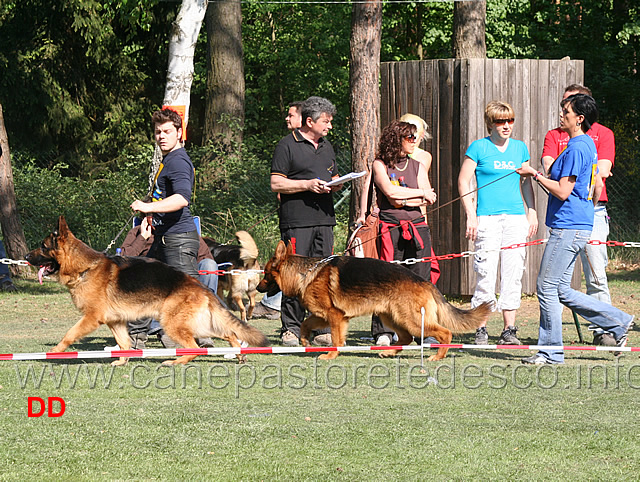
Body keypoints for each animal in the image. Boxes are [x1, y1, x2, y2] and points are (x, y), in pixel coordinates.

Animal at [25, 216, 268, 366]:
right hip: (198, 324)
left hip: (174, 324)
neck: (84, 267)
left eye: (43, 247)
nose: (26, 257)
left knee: (195, 347)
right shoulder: (116, 322)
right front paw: (123, 361)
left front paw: (53, 352)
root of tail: (197, 285)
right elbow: (124, 343)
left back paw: (176, 361)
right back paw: (238, 355)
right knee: (229, 333)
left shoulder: (91, 318)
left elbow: (69, 334)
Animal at [256, 239, 490, 360]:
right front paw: (305, 341)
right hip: (392, 318)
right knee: (406, 338)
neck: (305, 273)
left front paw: (331, 355)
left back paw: (437, 356)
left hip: (411, 320)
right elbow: (305, 323)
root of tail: (425, 282)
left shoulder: (334, 316)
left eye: (265, 274)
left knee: (445, 332)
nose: (257, 288)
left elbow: (336, 339)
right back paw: (389, 352)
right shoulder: (324, 316)